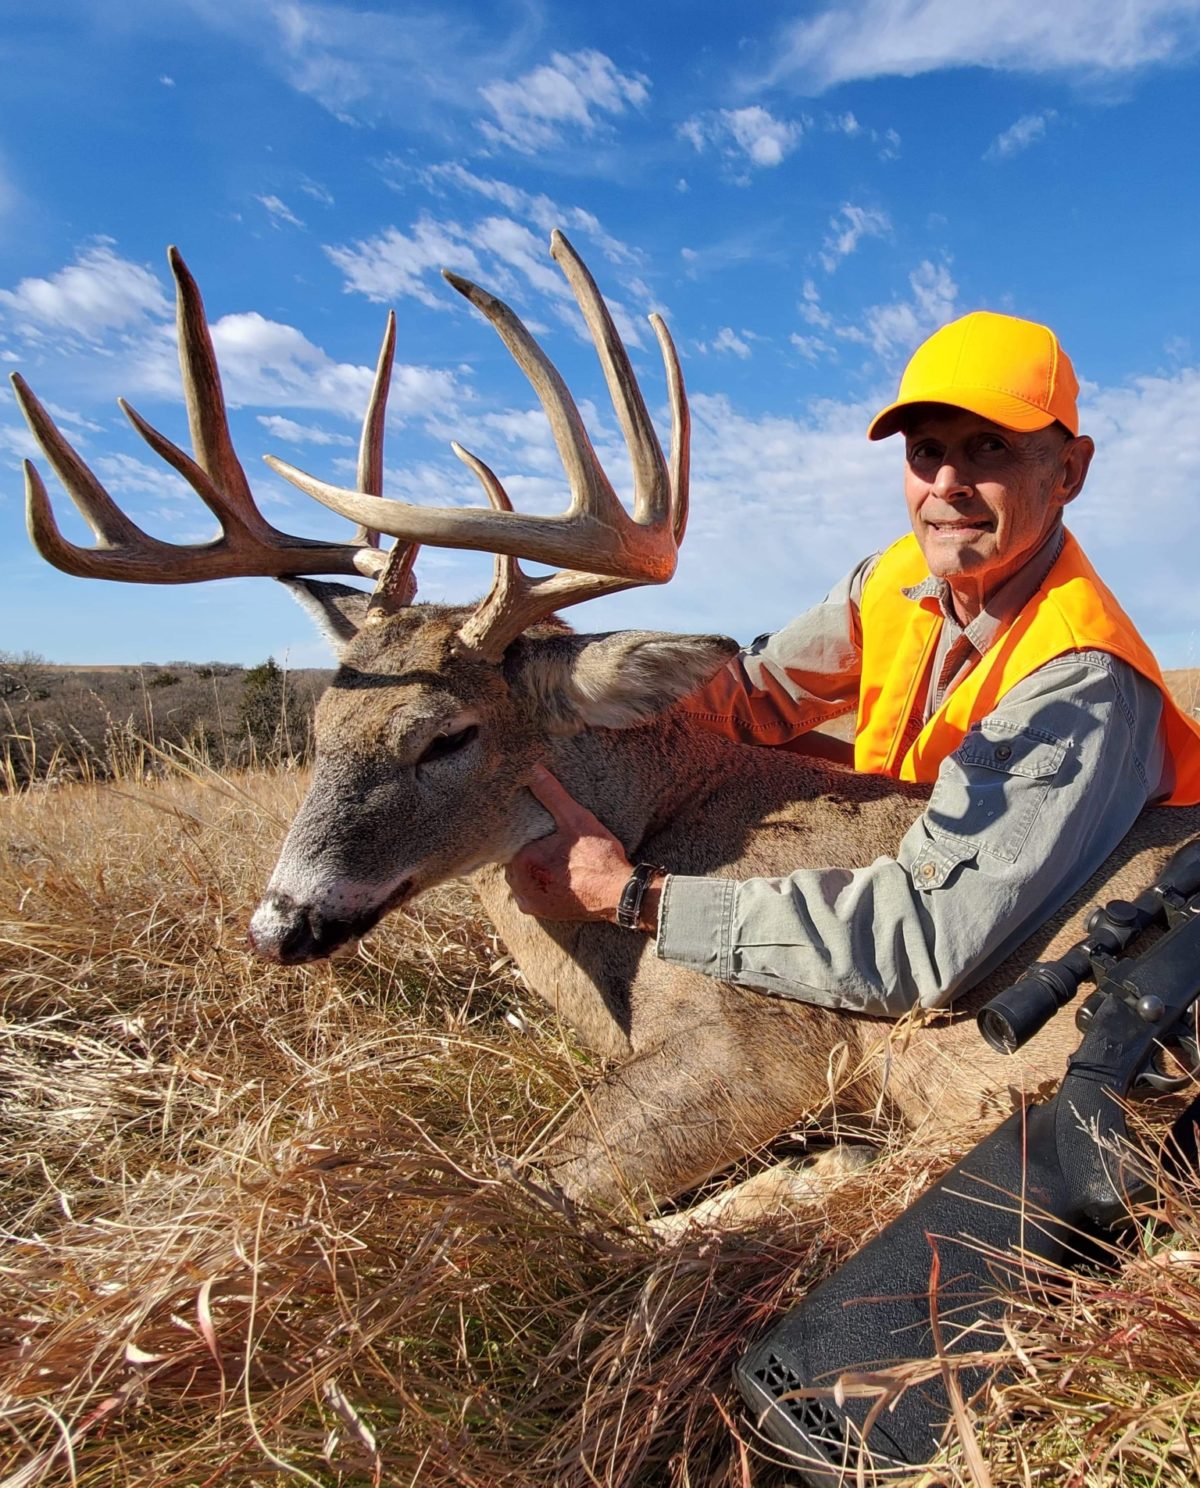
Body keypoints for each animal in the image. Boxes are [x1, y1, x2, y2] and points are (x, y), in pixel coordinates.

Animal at [16, 234, 1200, 1218]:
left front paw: (813, 1173)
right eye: (315, 729)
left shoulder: (765, 1048)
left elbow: (520, 1191)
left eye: (445, 736)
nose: (281, 925)